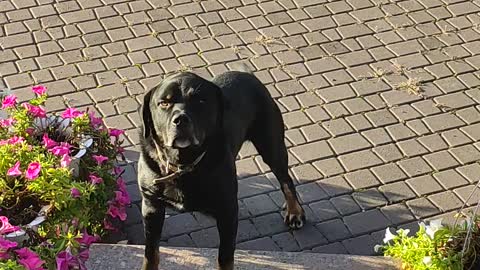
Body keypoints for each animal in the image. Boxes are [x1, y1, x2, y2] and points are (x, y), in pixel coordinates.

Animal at [137, 70, 306, 268]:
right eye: (164, 103)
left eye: (200, 101)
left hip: (271, 145)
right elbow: (151, 252)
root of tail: (246, 73)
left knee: (286, 179)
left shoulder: (227, 213)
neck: (183, 164)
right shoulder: (151, 207)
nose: (180, 119)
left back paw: (295, 212)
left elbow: (225, 256)